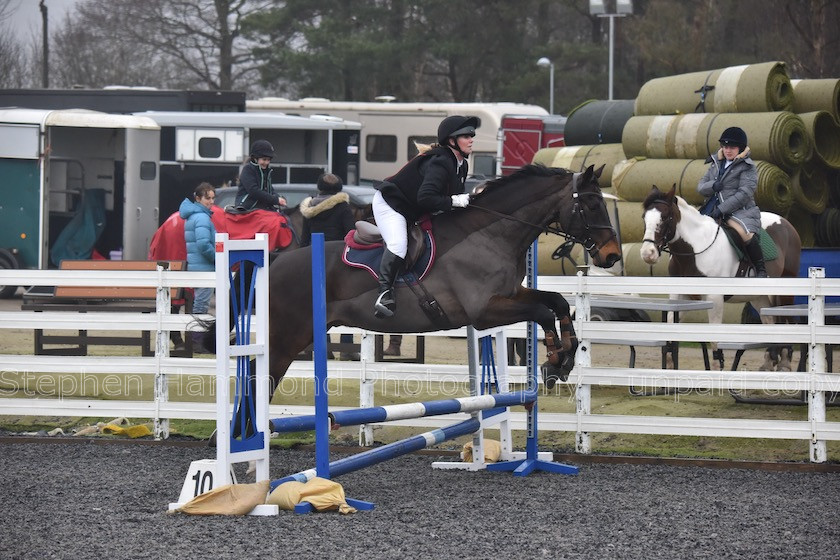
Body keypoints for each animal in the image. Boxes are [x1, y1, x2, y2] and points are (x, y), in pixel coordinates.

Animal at [207, 164, 620, 394]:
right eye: (592, 204)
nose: (612, 255)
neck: (492, 233)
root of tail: (275, 260)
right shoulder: (484, 312)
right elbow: (542, 311)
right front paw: (552, 360)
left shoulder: (511, 294)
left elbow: (556, 302)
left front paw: (563, 358)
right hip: (287, 336)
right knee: (260, 379)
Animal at [640, 186, 804, 372]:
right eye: (644, 217)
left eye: (665, 217)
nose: (647, 253)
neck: (695, 250)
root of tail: (785, 223)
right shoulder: (679, 297)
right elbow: (668, 327)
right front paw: (669, 364)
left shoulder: (715, 298)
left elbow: (714, 335)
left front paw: (717, 365)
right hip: (759, 297)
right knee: (770, 321)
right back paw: (769, 362)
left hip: (784, 292)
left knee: (787, 321)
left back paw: (784, 363)